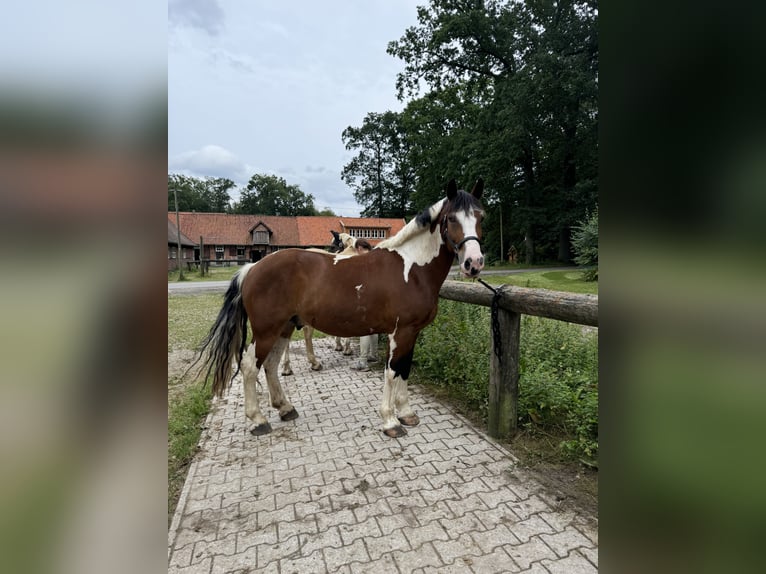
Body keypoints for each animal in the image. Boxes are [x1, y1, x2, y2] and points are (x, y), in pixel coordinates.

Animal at [198, 178, 486, 438]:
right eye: (451, 219)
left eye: (481, 216)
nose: (473, 263)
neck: (411, 269)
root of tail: (252, 268)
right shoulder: (400, 331)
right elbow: (392, 372)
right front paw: (390, 421)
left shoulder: (412, 332)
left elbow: (405, 369)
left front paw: (406, 413)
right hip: (266, 331)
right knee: (250, 367)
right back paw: (258, 420)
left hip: (284, 327)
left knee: (271, 364)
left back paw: (285, 408)